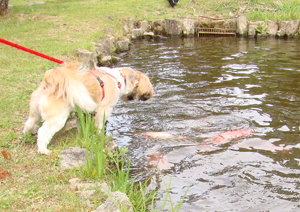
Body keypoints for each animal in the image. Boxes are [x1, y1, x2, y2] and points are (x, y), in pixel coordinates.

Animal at [23, 61, 154, 154]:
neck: (120, 79)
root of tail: (50, 84)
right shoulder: (104, 109)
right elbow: (100, 124)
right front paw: (101, 135)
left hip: (35, 111)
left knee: (30, 123)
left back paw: (29, 133)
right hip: (57, 118)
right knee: (43, 131)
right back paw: (43, 150)